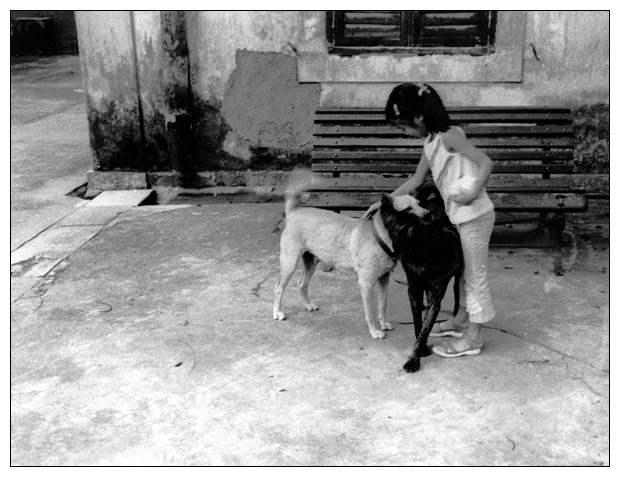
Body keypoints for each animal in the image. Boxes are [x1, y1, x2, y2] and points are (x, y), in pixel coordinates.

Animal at [380, 182, 462, 372]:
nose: (384, 202)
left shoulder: (435, 298)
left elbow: (425, 328)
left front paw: (414, 358)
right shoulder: (413, 290)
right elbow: (418, 324)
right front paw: (422, 348)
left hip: (457, 280)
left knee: (458, 296)